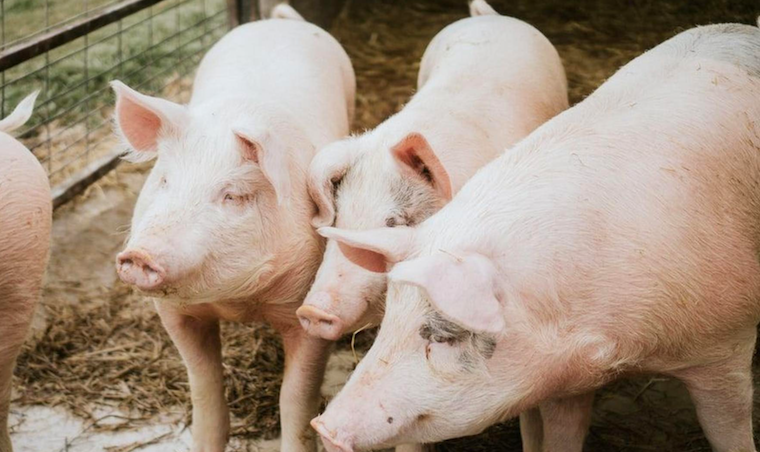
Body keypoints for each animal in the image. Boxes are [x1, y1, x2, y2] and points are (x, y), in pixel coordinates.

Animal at [112, 4, 354, 452]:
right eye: (163, 180)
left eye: (233, 196)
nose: (139, 254)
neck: (237, 302)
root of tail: (278, 20)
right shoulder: (174, 313)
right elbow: (203, 385)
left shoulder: (310, 310)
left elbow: (296, 397)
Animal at [312, 23, 760, 452]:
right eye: (390, 319)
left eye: (444, 335)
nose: (324, 427)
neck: (619, 347)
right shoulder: (564, 377)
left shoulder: (726, 350)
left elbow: (731, 431)